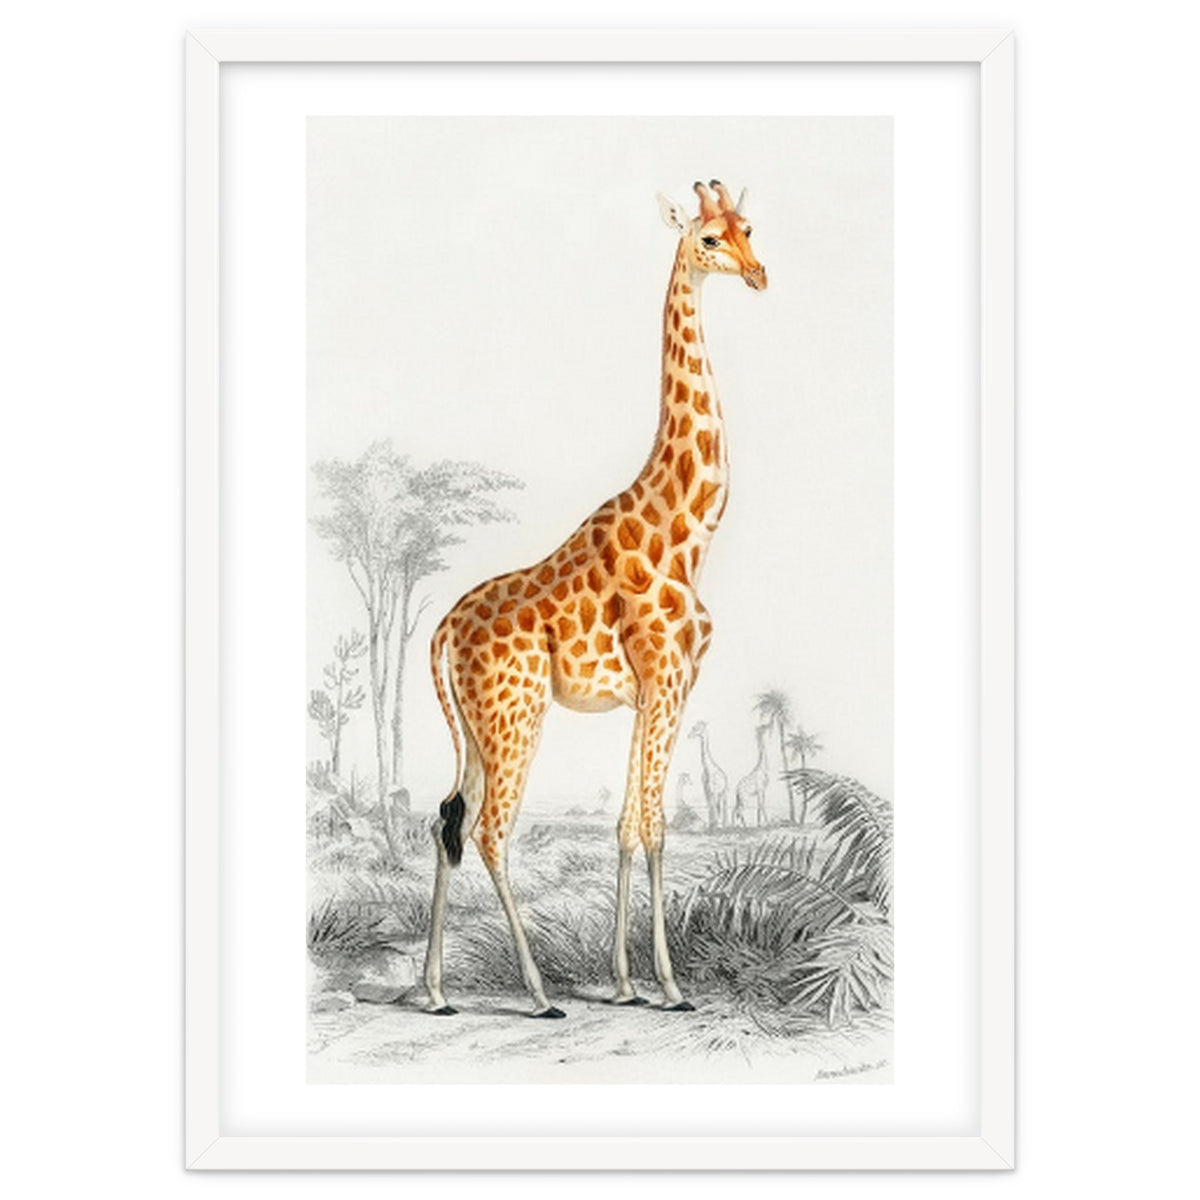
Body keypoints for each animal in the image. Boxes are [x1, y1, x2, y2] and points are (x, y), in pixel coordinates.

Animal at [424, 180, 766, 1017]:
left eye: (749, 229)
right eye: (708, 239)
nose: (758, 274)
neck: (688, 531)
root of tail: (441, 630)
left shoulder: (654, 693)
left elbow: (627, 824)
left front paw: (626, 982)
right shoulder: (668, 682)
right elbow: (656, 825)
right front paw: (670, 986)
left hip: (478, 727)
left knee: (446, 818)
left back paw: (436, 991)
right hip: (515, 717)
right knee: (489, 831)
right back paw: (540, 993)